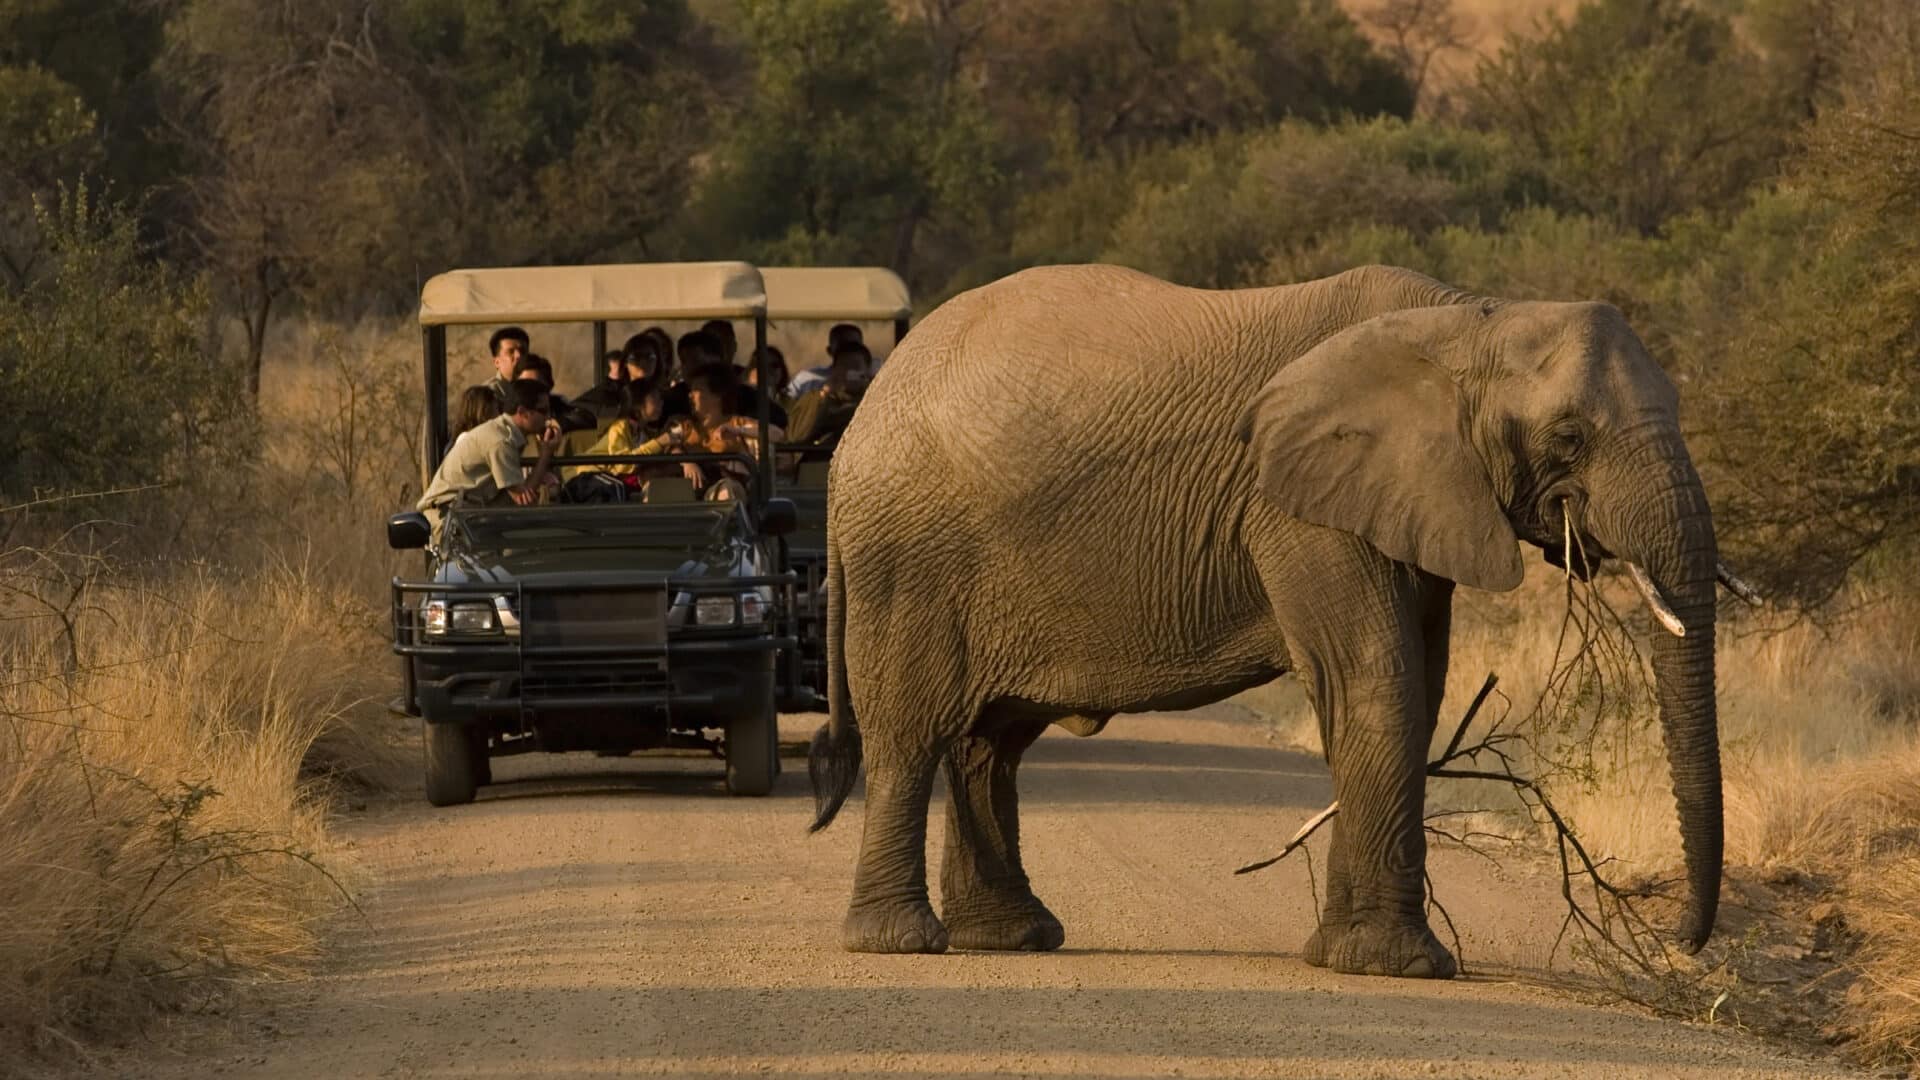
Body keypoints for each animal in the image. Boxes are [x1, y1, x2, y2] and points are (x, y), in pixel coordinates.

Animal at [802, 263, 1735, 976]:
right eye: (1570, 437)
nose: (1683, 944)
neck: (1464, 319)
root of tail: (852, 436)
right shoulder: (1296, 507)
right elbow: (1375, 677)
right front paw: (1398, 965)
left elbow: (1419, 686)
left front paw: (1348, 955)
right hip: (908, 560)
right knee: (910, 733)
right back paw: (902, 943)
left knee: (988, 744)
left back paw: (1012, 937)